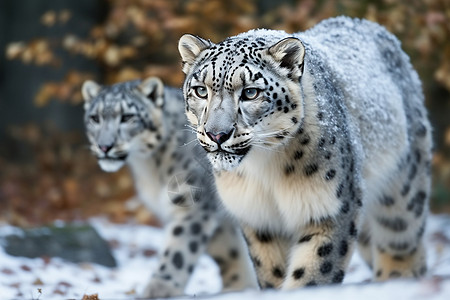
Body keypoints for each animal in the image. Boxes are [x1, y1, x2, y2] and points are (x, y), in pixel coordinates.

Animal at [81, 77, 256, 298]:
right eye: (95, 118)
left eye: (127, 117)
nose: (104, 146)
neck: (150, 168)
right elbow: (228, 250)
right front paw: (239, 286)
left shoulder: (194, 203)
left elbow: (179, 250)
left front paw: (158, 290)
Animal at [178, 17, 432, 290]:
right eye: (201, 90)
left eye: (250, 92)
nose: (217, 134)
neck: (264, 169)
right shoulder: (259, 219)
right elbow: (272, 273)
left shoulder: (330, 209)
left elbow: (312, 274)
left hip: (402, 194)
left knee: (401, 243)